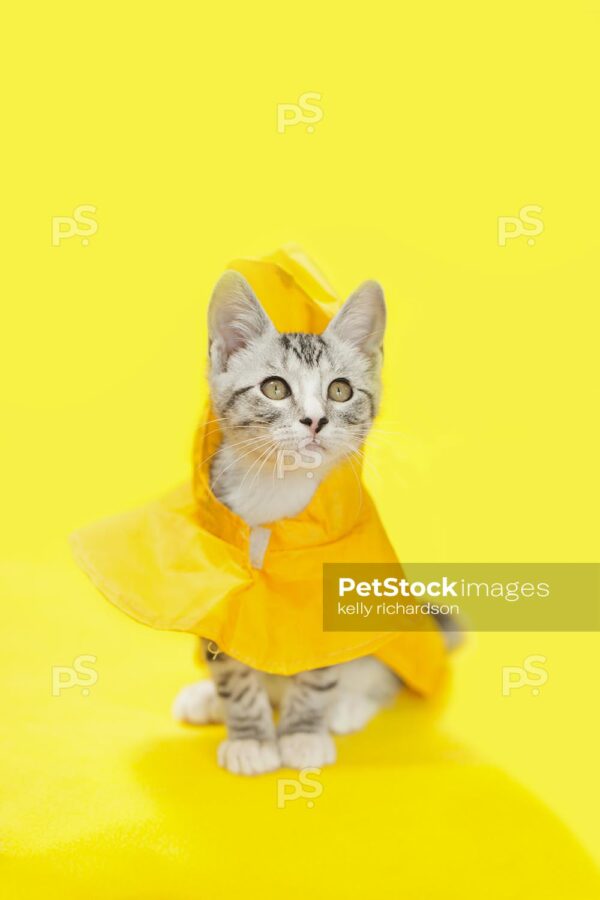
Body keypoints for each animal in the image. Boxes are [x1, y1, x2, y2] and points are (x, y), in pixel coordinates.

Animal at [171, 270, 400, 768]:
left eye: (340, 390)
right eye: (275, 387)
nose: (315, 420)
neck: (276, 492)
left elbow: (318, 665)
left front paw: (302, 733)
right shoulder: (222, 586)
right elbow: (232, 668)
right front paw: (250, 738)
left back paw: (348, 705)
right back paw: (207, 698)